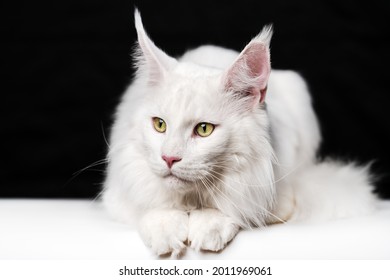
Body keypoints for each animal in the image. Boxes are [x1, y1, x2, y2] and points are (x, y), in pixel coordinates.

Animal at [102, 9, 376, 258]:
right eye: (160, 125)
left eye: (204, 129)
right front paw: (166, 231)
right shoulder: (120, 192)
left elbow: (232, 207)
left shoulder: (277, 200)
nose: (169, 158)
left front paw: (208, 226)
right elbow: (153, 205)